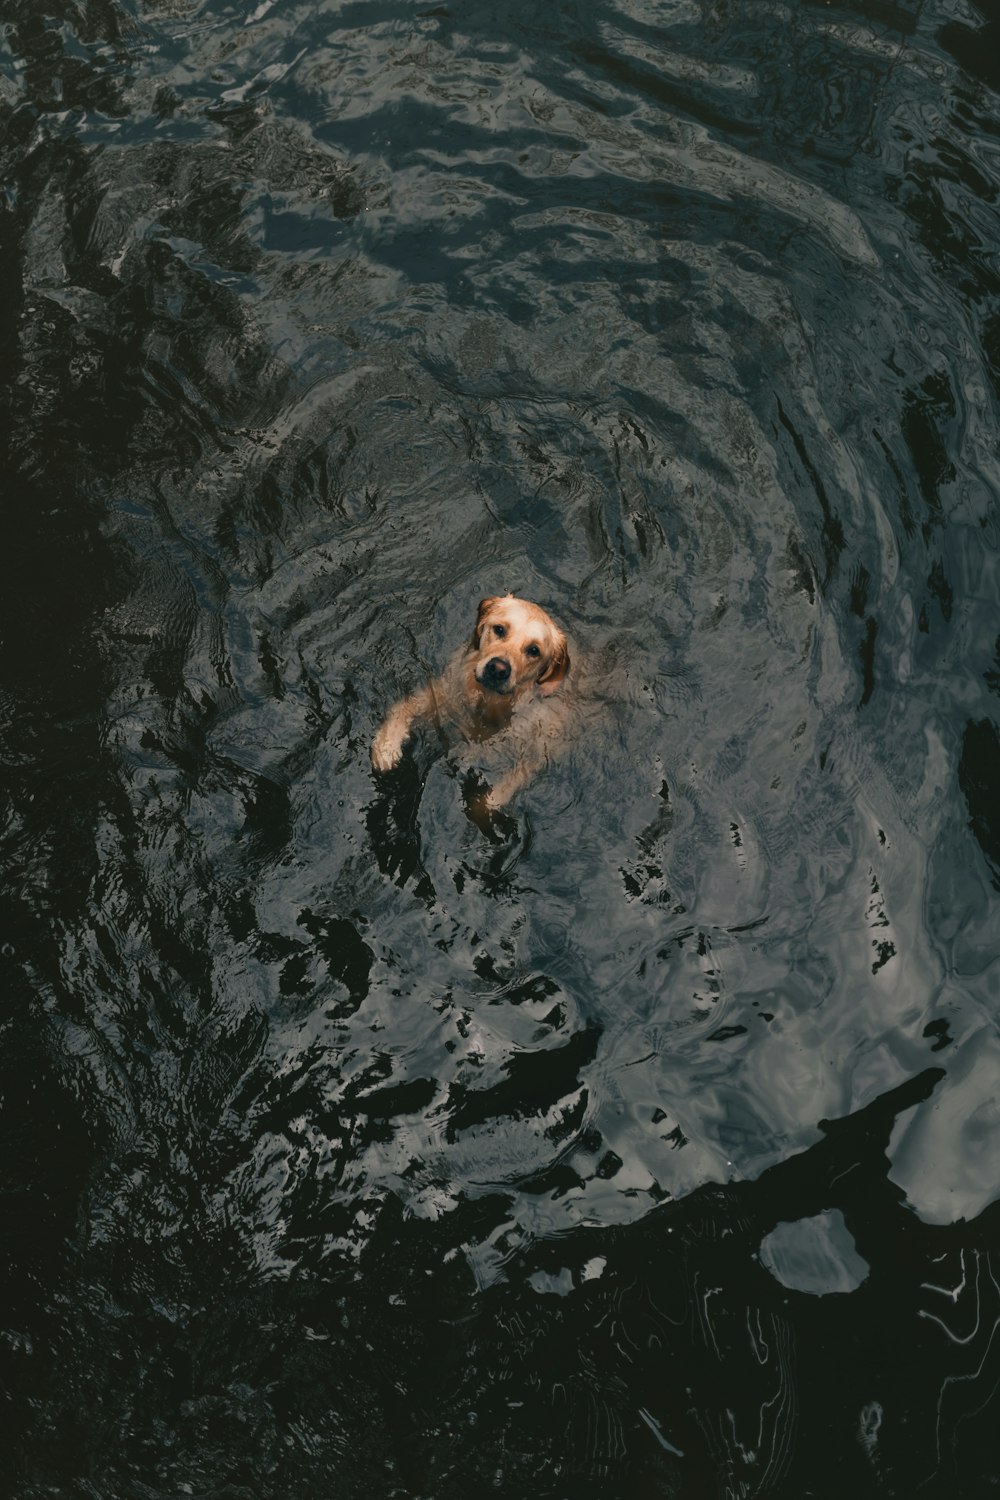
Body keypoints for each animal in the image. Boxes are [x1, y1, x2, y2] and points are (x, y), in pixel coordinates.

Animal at [371, 591, 569, 816]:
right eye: (499, 629)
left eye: (534, 650)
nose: (498, 668)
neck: (488, 702)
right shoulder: (441, 695)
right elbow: (402, 707)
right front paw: (386, 745)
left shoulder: (540, 748)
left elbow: (504, 789)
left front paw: (482, 805)